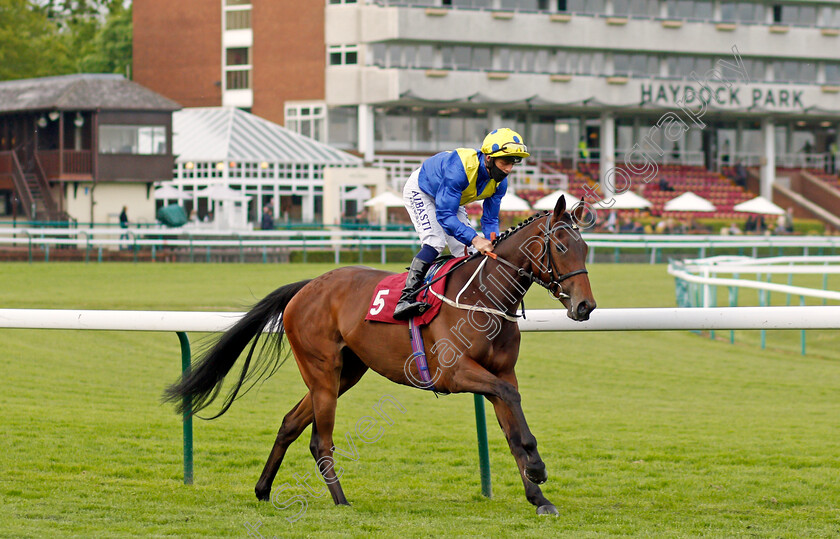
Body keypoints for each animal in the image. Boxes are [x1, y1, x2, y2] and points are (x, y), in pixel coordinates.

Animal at [164, 196, 592, 516]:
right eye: (560, 247)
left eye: (586, 248)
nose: (585, 306)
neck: (481, 296)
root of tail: (308, 285)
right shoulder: (455, 374)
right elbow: (512, 404)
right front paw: (537, 468)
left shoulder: (501, 372)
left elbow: (513, 428)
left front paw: (538, 495)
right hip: (322, 370)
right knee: (320, 440)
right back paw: (341, 501)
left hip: (346, 373)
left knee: (290, 423)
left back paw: (263, 489)